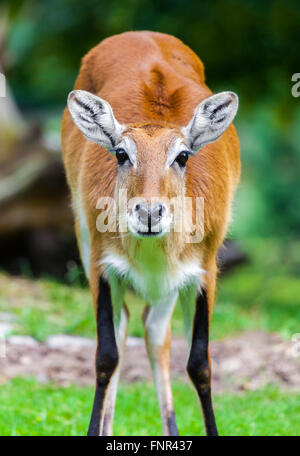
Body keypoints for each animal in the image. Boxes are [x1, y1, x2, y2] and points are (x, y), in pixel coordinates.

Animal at [61, 30, 241, 436]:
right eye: (121, 153)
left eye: (183, 156)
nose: (148, 212)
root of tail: (141, 34)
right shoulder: (102, 266)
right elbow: (105, 357)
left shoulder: (204, 270)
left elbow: (200, 365)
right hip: (85, 239)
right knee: (126, 327)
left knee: (156, 332)